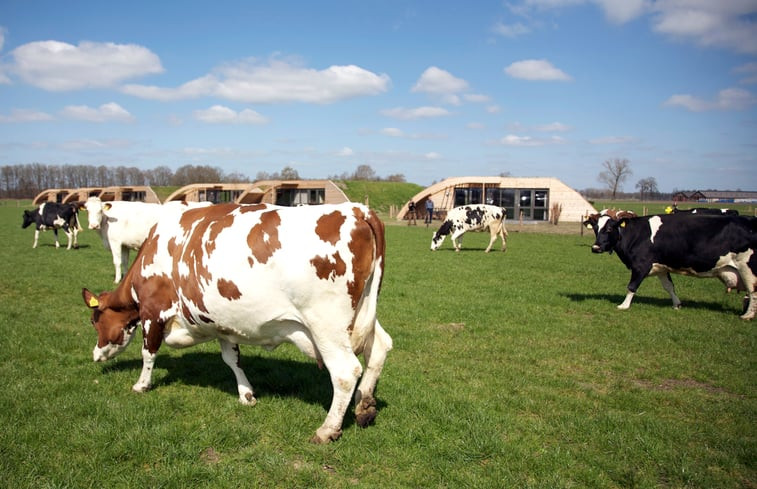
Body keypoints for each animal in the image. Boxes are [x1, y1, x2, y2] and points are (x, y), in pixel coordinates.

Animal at [81, 202, 390, 442]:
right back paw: (365, 405)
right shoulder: (222, 324)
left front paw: (141, 385)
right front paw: (246, 394)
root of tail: (358, 209)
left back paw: (328, 429)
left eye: (95, 321)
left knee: (346, 371)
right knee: (380, 347)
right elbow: (232, 360)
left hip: (326, 324)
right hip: (364, 312)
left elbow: (149, 352)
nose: (95, 355)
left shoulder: (153, 312)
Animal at [592, 211, 756, 318]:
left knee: (752, 291)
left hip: (747, 267)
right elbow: (669, 287)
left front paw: (624, 305)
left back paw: (747, 315)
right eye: (595, 229)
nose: (595, 247)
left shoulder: (641, 265)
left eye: (609, 229)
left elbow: (631, 287)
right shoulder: (660, 268)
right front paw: (677, 304)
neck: (636, 235)